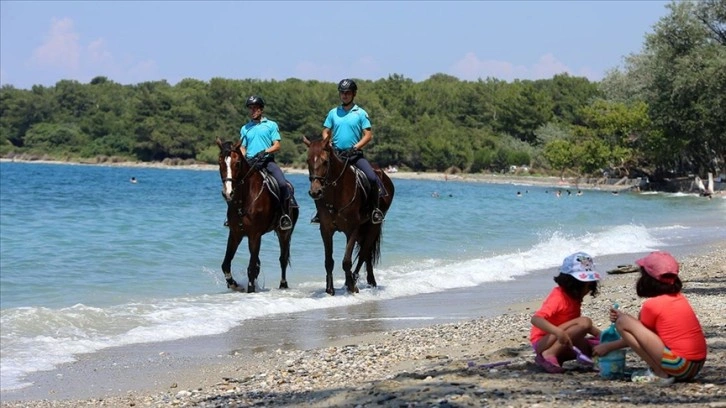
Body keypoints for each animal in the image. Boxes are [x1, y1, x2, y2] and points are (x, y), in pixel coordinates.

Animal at [216, 139, 298, 292]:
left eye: (237, 163)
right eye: (220, 162)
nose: (227, 193)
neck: (244, 198)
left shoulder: (254, 235)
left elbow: (251, 267)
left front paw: (250, 289)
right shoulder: (235, 234)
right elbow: (226, 264)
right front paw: (233, 284)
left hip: (284, 233)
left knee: (283, 258)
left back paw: (283, 285)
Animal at [302, 136, 398, 294]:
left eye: (325, 161)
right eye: (308, 160)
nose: (315, 192)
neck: (336, 192)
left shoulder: (352, 229)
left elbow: (347, 260)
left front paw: (352, 287)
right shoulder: (326, 230)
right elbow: (329, 261)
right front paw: (330, 289)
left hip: (373, 227)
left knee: (364, 253)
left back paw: (356, 280)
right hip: (362, 230)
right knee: (367, 255)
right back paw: (366, 281)